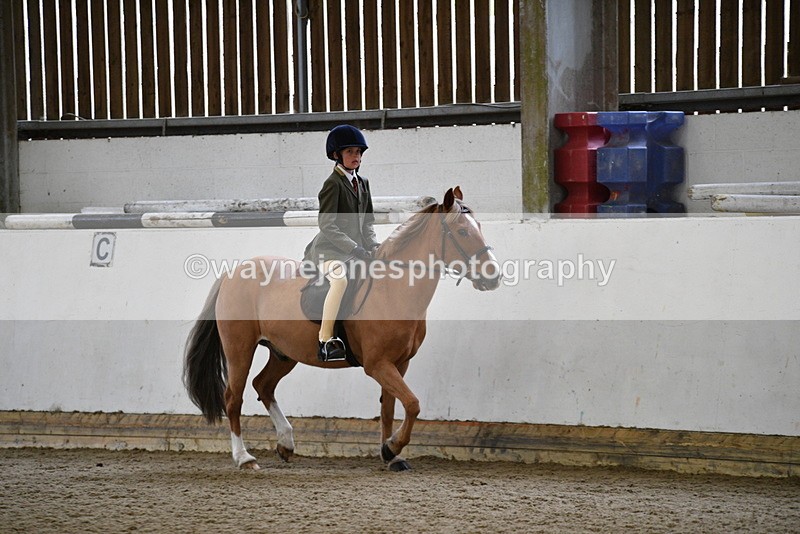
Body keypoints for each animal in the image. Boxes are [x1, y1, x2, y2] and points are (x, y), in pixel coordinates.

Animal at [183, 187, 501, 471]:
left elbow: (390, 407)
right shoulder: (377, 364)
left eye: (480, 227)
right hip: (239, 349)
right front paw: (392, 447)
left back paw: (286, 443)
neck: (394, 289)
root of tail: (232, 273)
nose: (494, 276)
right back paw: (244, 458)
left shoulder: (399, 363)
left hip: (283, 352)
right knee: (233, 398)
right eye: (462, 232)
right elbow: (412, 403)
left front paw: (390, 455)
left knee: (264, 385)